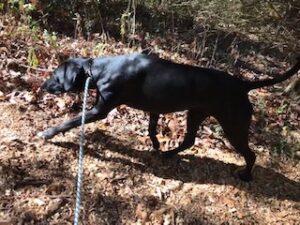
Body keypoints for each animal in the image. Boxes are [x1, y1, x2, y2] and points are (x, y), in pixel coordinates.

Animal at [38, 53, 300, 182]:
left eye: (55, 75)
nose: (42, 85)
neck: (98, 69)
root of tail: (244, 85)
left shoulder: (99, 111)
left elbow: (70, 121)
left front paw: (48, 132)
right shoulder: (154, 108)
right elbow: (151, 128)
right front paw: (155, 145)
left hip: (233, 126)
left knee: (251, 154)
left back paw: (246, 176)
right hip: (196, 114)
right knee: (189, 141)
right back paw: (168, 153)